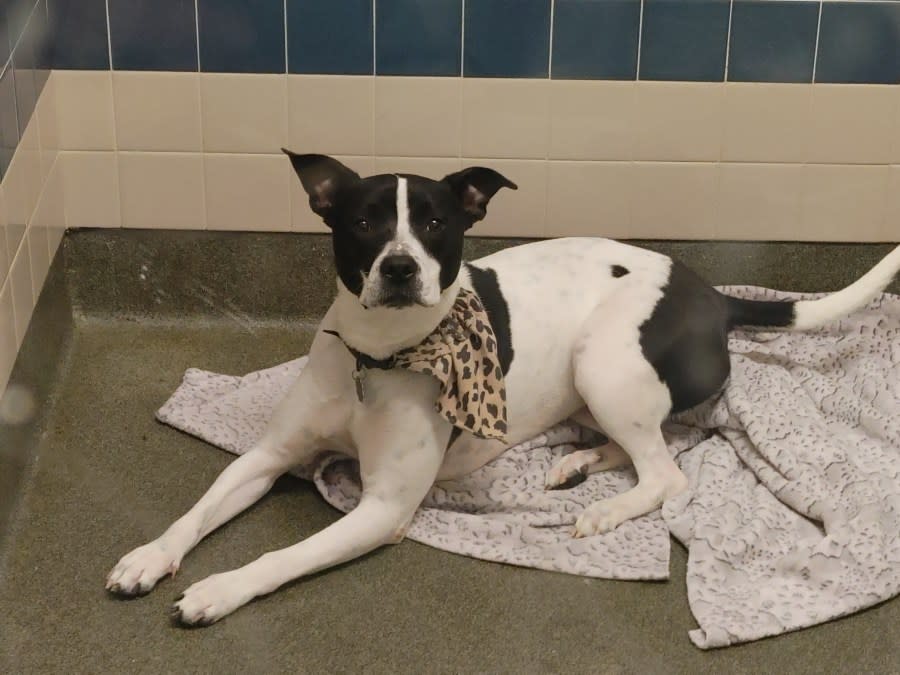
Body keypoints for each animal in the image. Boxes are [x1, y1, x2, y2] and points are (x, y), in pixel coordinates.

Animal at [107, 153, 900, 628]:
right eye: (362, 221)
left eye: (435, 222)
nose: (399, 267)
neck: (380, 357)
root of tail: (712, 294)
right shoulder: (267, 456)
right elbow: (195, 512)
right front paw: (147, 556)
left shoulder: (382, 509)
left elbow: (283, 557)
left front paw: (218, 589)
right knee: (655, 441)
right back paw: (578, 462)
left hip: (602, 361)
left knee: (669, 467)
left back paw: (603, 509)